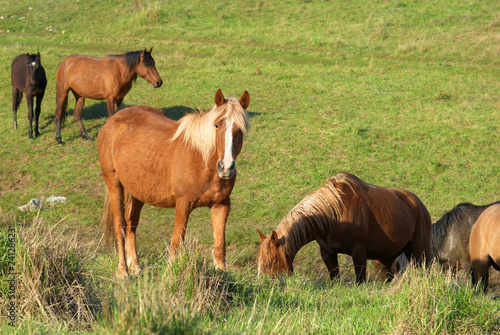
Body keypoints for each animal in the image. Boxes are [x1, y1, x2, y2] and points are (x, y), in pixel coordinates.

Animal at [98, 89, 250, 280]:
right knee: (121, 227)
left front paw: (221, 276)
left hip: (137, 192)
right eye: (217, 125)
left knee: (132, 224)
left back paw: (135, 267)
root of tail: (112, 120)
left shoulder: (221, 205)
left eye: (241, 129)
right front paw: (171, 275)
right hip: (114, 185)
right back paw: (123, 271)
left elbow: (219, 245)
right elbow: (177, 242)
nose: (226, 167)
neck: (202, 160)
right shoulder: (183, 204)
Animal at [256, 173, 432, 284]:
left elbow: (360, 281)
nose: (266, 286)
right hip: (384, 260)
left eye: (270, 263)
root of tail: (419, 205)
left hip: (419, 253)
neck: (333, 214)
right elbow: (335, 279)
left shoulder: (358, 252)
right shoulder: (327, 253)